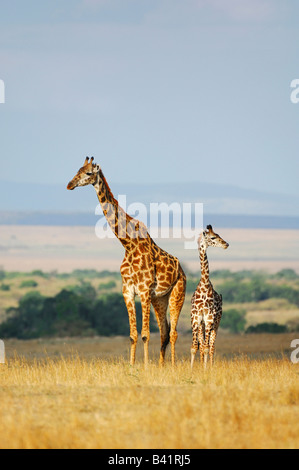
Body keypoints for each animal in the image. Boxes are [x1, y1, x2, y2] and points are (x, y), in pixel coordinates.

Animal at [67, 158, 186, 368]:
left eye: (88, 173)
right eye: (77, 170)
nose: (70, 184)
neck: (128, 244)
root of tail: (182, 270)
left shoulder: (144, 291)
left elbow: (145, 334)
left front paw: (145, 367)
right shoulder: (128, 291)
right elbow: (133, 335)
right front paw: (132, 365)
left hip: (177, 294)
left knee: (173, 333)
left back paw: (171, 366)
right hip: (160, 299)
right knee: (164, 332)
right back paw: (162, 365)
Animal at [190, 226, 230, 370]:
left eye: (218, 234)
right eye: (213, 237)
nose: (226, 244)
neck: (204, 286)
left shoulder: (208, 319)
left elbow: (207, 347)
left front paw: (206, 369)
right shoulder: (196, 318)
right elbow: (195, 347)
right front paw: (192, 369)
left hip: (216, 324)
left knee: (212, 346)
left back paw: (211, 366)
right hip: (202, 324)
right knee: (202, 345)